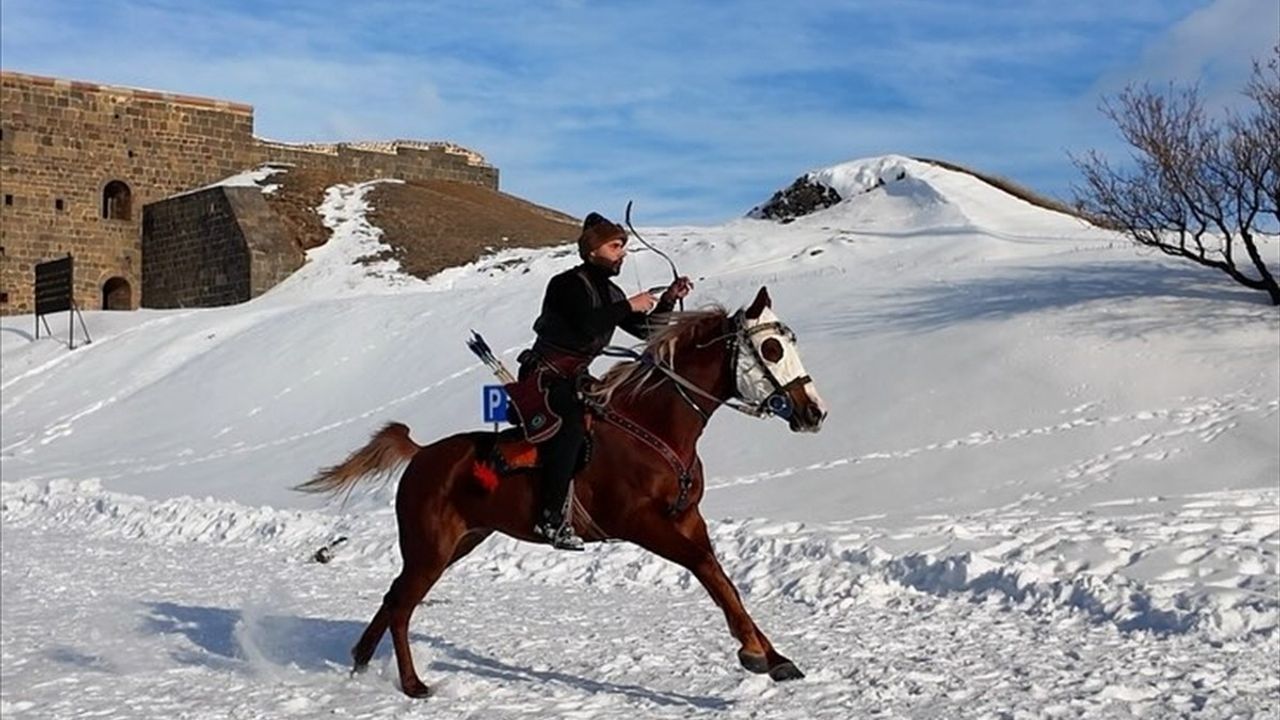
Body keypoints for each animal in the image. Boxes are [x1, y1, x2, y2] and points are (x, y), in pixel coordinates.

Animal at [294, 285, 824, 696]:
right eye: (772, 349)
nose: (814, 411)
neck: (655, 425)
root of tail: (423, 454)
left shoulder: (687, 518)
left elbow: (721, 578)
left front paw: (773, 657)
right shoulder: (640, 523)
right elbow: (704, 570)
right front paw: (754, 652)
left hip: (459, 543)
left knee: (392, 598)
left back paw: (362, 658)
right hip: (430, 548)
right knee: (402, 607)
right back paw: (411, 683)